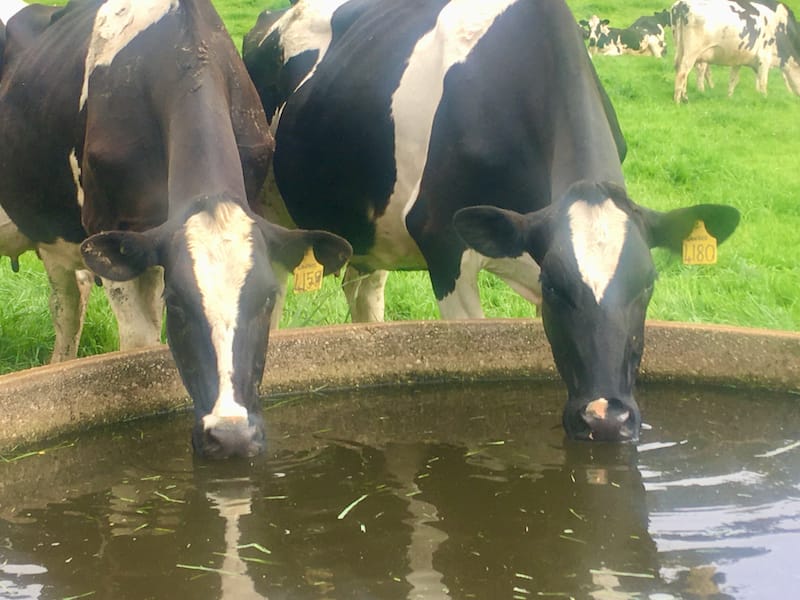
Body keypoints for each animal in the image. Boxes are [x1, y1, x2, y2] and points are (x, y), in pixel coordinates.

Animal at [0, 1, 350, 460]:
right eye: (177, 304)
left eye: (267, 299)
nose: (232, 435)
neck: (185, 49)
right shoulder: (113, 232)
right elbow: (139, 346)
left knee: (68, 300)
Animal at [672, 0, 800, 101]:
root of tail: (683, 4)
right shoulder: (764, 59)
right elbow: (764, 82)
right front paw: (765, 99)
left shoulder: (738, 59)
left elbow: (733, 79)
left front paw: (729, 98)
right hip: (692, 52)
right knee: (684, 71)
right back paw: (678, 100)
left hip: (681, 49)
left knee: (681, 69)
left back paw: (685, 97)